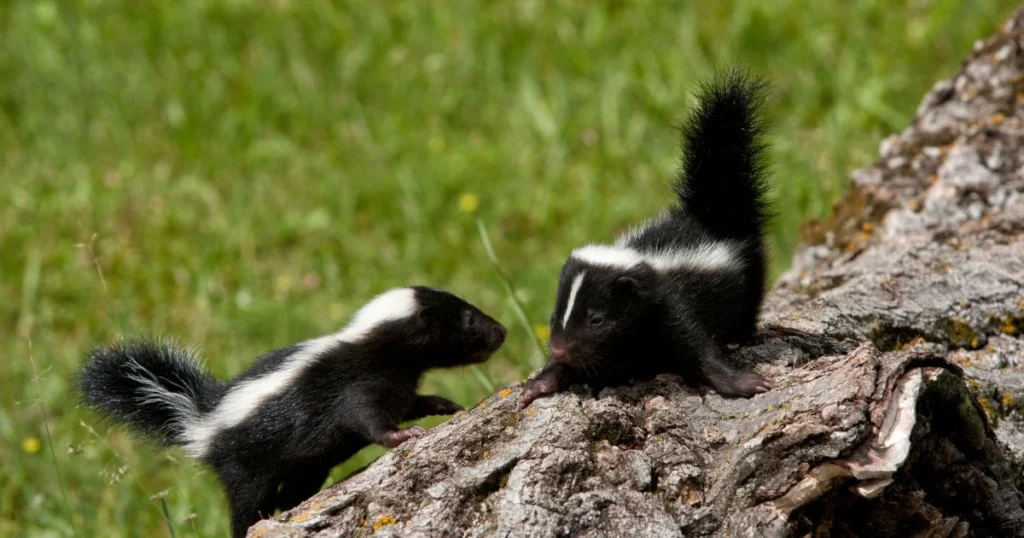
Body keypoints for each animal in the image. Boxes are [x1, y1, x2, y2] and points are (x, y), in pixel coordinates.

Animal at [77, 284, 505, 536]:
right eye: (469, 319)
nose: (501, 331)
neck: (378, 347)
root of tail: (202, 421)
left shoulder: (395, 383)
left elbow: (409, 403)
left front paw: (442, 405)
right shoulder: (355, 386)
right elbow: (367, 418)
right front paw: (402, 436)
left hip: (306, 467)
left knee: (292, 491)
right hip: (246, 463)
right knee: (247, 505)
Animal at [520, 70, 774, 407]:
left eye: (596, 319)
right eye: (553, 317)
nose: (559, 349)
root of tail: (710, 213)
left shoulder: (670, 305)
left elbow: (700, 348)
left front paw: (745, 382)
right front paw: (540, 383)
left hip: (748, 273)